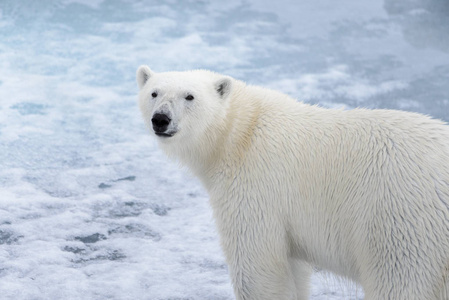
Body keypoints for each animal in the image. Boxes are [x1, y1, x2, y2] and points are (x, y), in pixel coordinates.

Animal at [135, 66, 448, 300]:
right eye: (154, 92)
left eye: (190, 96)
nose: (161, 119)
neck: (238, 135)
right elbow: (294, 267)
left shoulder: (254, 188)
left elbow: (258, 267)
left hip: (399, 224)